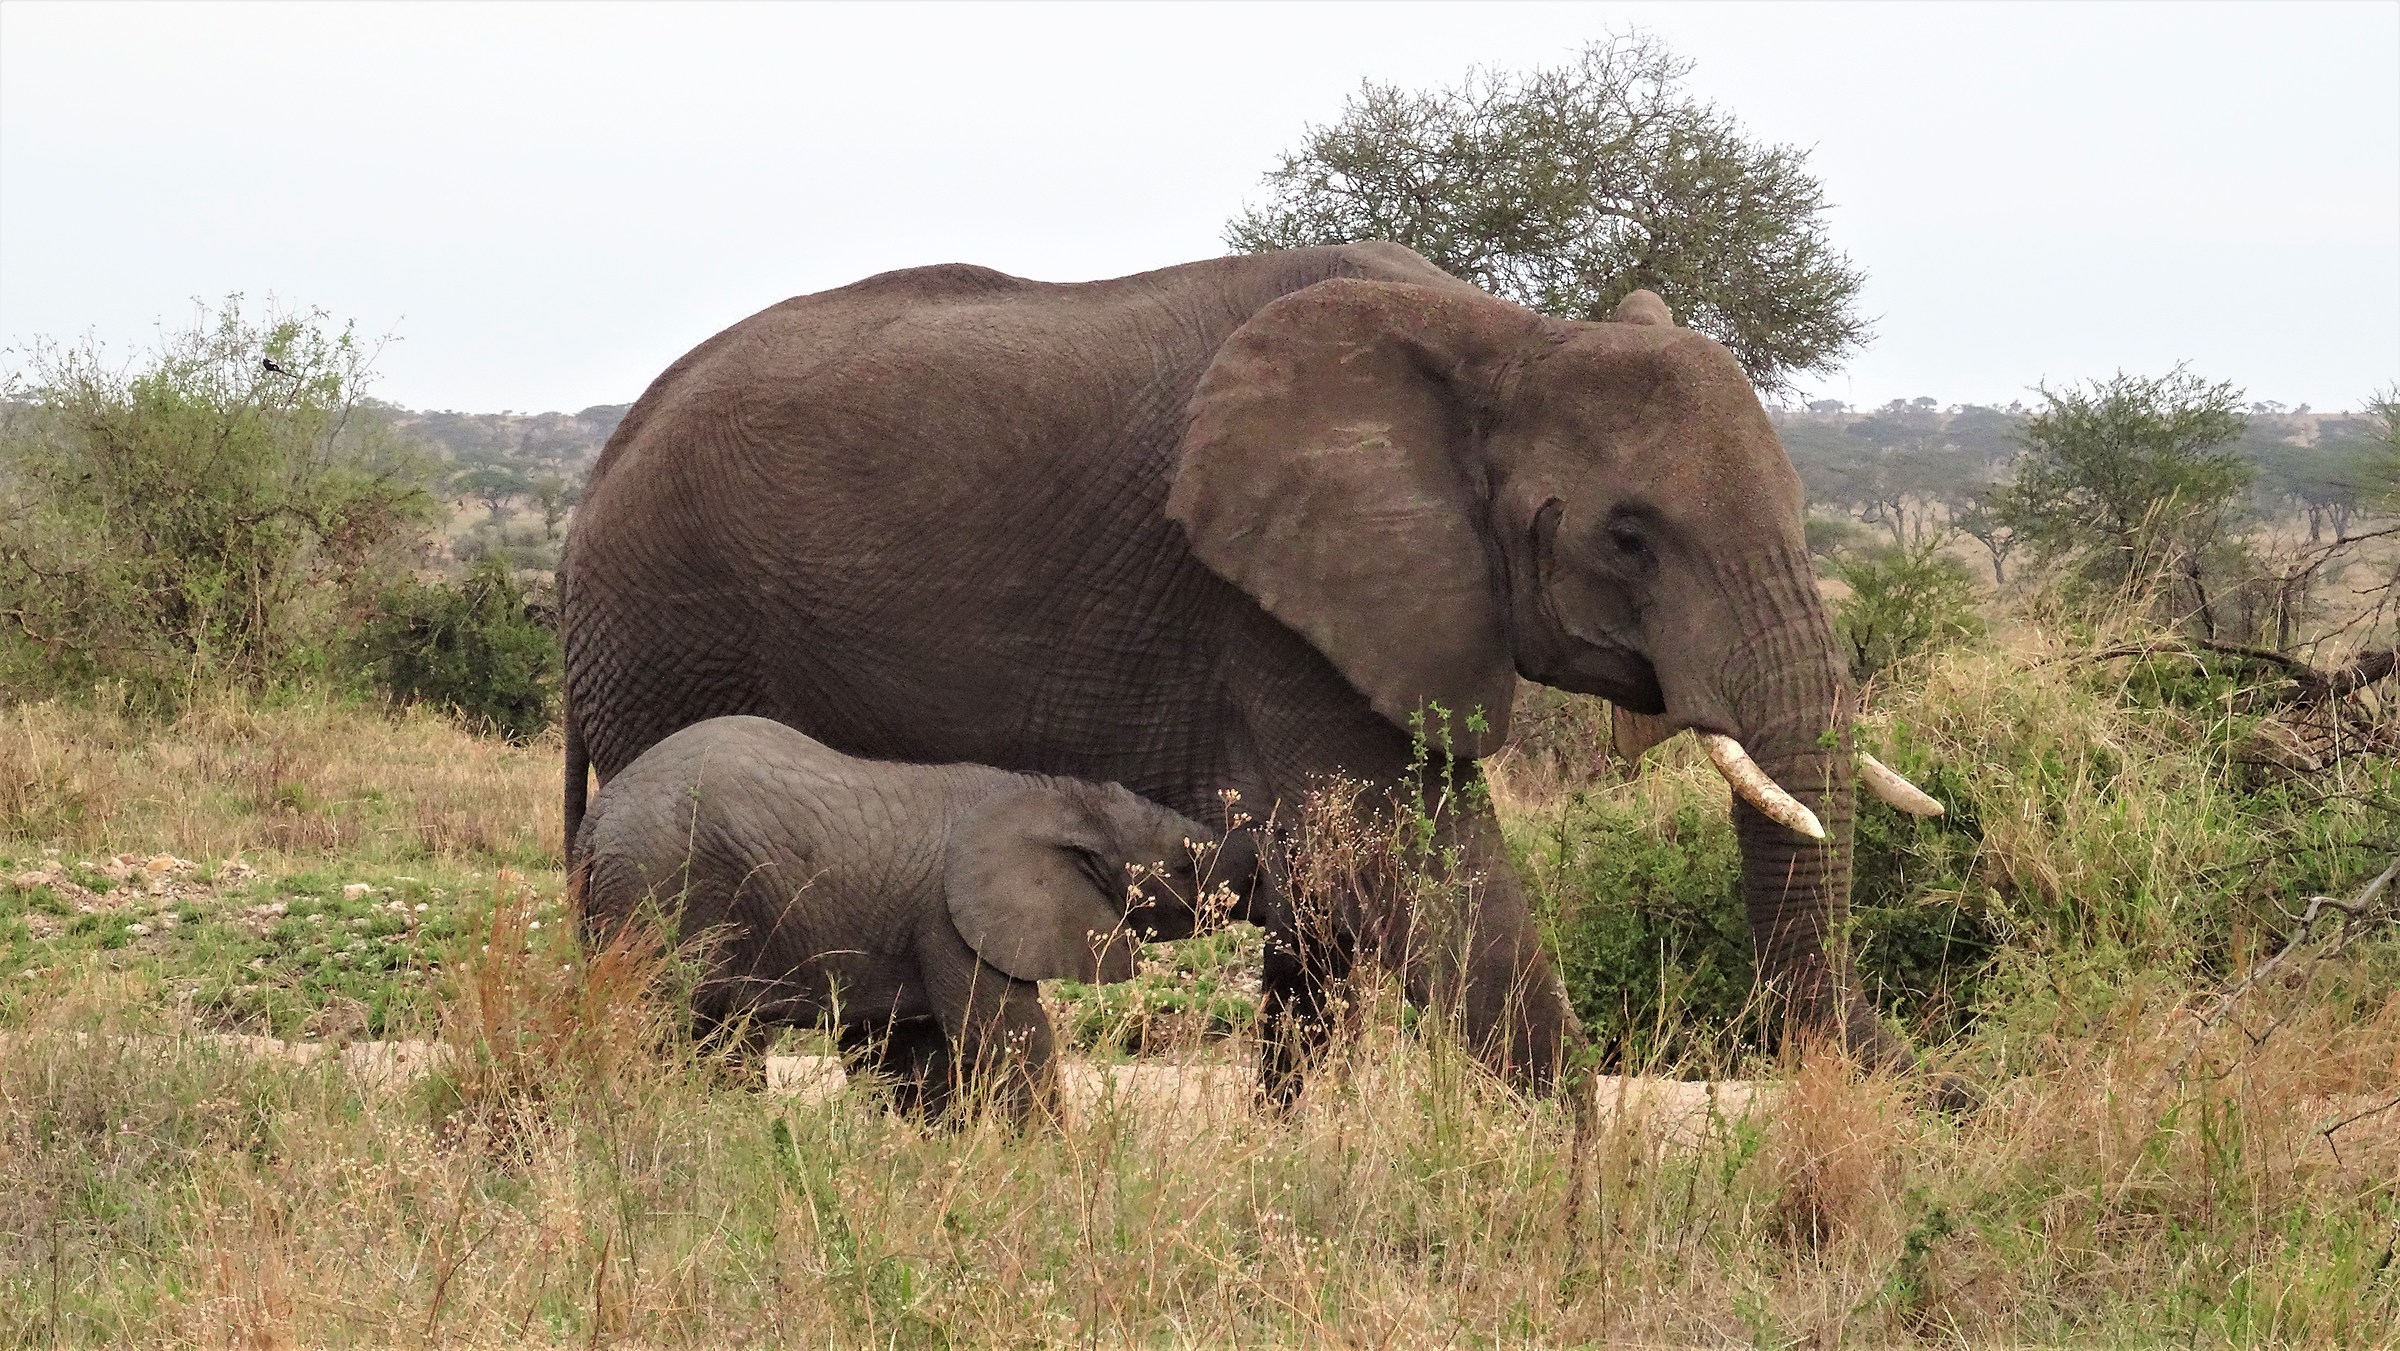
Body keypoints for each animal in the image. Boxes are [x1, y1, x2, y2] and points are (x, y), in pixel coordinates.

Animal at [573, 715, 1256, 1119]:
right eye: (1189, 865)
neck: (1061, 796)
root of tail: (596, 818)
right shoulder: (950, 923)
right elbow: (1005, 1042)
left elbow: (911, 1058)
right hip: (660, 892)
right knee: (677, 1027)